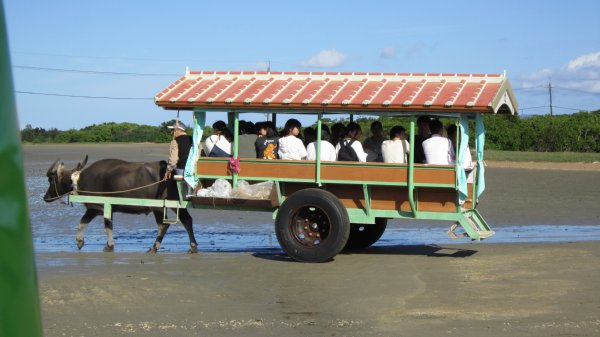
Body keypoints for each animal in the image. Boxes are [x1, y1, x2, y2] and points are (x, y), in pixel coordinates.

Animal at [45, 155, 199, 252]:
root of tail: (170, 172)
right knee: (187, 220)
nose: (45, 197)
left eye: (52, 180)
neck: (79, 180)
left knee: (163, 225)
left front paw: (82, 242)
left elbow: (85, 223)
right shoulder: (107, 208)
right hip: (175, 202)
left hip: (158, 207)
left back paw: (154, 248)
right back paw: (193, 246)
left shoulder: (95, 208)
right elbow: (106, 226)